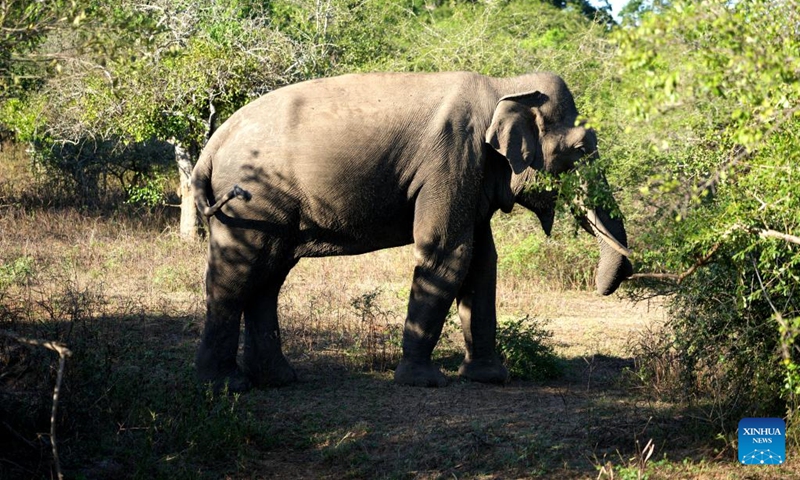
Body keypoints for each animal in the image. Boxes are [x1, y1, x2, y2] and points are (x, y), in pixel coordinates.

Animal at [191, 71, 633, 392]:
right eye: (580, 149)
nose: (613, 278)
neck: (505, 85)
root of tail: (213, 144)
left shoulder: (472, 173)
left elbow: (482, 262)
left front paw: (490, 379)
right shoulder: (452, 159)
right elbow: (448, 253)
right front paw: (424, 382)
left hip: (268, 206)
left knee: (268, 276)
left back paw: (278, 381)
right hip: (250, 200)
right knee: (240, 273)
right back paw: (225, 387)